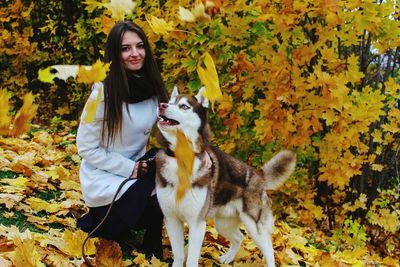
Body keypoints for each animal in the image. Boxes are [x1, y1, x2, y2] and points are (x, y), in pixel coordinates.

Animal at [155, 88, 296, 267]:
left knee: (269, 251)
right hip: (222, 223)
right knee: (239, 237)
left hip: (254, 227)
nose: (161, 105)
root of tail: (259, 175)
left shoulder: (197, 224)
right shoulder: (171, 220)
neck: (182, 158)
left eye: (184, 106)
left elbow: (192, 259)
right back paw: (228, 258)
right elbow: (179, 256)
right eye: (170, 101)